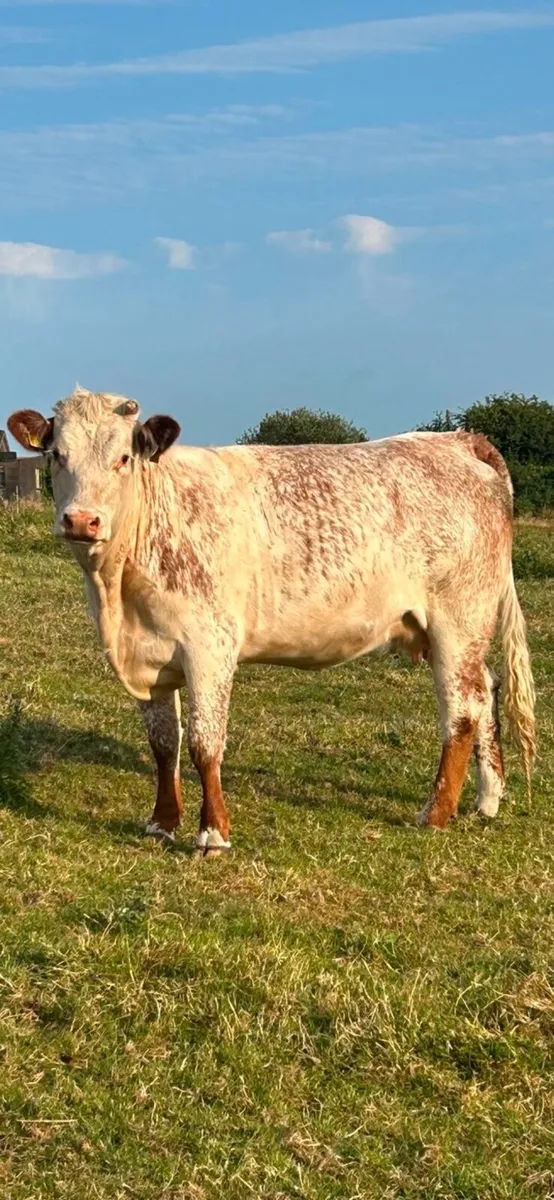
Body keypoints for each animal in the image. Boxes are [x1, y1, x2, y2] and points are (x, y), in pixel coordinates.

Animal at [8, 388, 535, 855]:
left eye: (123, 458)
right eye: (57, 455)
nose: (81, 520)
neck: (120, 595)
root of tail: (459, 440)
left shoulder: (210, 648)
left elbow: (204, 743)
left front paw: (213, 833)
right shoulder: (150, 657)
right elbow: (163, 744)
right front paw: (161, 823)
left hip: (457, 620)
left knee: (462, 707)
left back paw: (435, 813)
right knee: (486, 689)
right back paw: (487, 800)